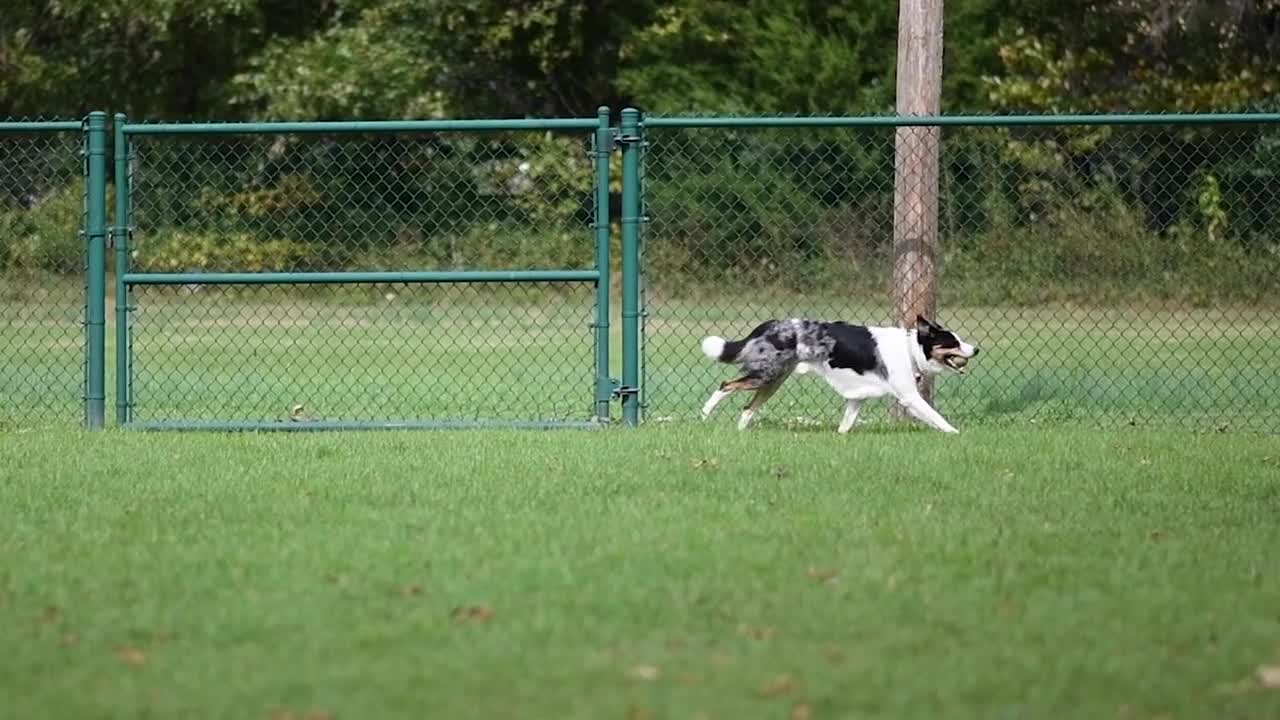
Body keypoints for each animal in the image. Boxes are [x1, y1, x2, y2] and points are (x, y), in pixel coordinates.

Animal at [701, 313, 977, 430]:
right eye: (953, 342)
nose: (976, 349)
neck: (910, 349)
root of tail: (770, 324)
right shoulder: (909, 397)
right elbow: (937, 418)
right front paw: (956, 434)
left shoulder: (857, 398)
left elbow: (845, 425)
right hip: (765, 375)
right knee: (726, 385)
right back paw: (706, 412)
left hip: (774, 380)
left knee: (748, 407)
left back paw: (741, 431)